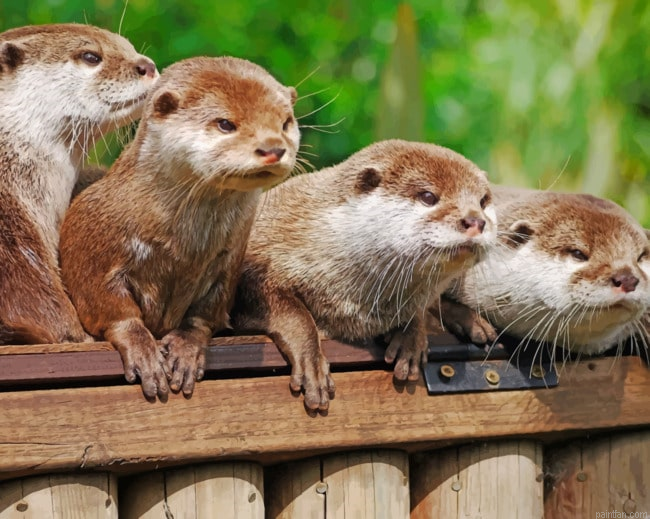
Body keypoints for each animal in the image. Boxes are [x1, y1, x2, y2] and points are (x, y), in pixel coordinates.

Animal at [60, 56, 300, 399]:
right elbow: (111, 308)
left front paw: (186, 350)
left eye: (285, 123)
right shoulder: (91, 245)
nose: (273, 148)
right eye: (225, 123)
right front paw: (144, 352)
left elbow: (205, 314)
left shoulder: (228, 261)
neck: (182, 251)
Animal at [232, 140, 497, 411]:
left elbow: (419, 309)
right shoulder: (259, 256)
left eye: (483, 201)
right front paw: (312, 364)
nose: (475, 221)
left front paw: (411, 339)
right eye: (428, 196)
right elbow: (292, 312)